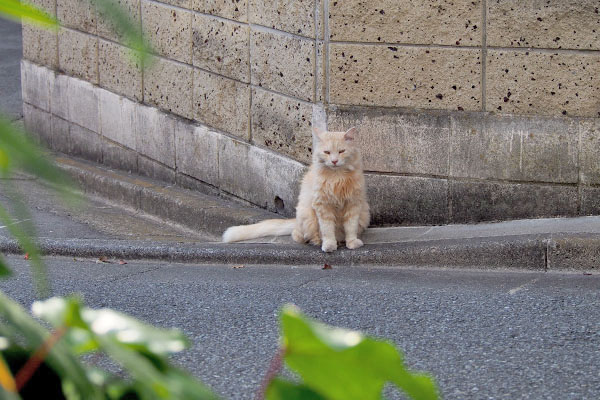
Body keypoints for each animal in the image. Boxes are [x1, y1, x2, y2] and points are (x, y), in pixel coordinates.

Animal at [221, 127, 368, 253]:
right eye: (327, 152)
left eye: (341, 151)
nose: (334, 161)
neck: (337, 178)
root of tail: (296, 221)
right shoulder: (323, 206)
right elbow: (327, 229)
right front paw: (329, 245)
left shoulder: (353, 204)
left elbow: (351, 227)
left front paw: (352, 242)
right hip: (307, 215)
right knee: (298, 235)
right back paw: (317, 240)